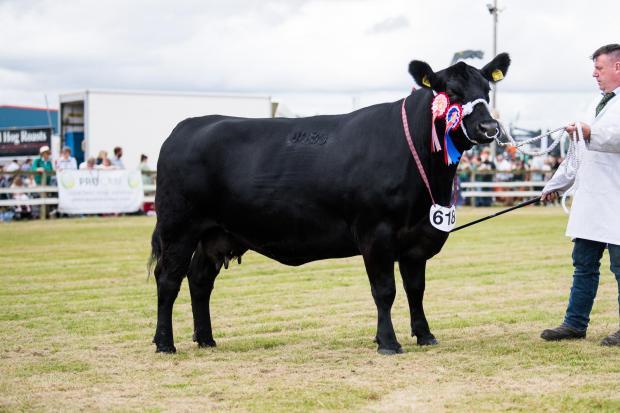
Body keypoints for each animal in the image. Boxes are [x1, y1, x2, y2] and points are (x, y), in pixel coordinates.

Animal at [149, 52, 508, 354]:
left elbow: (415, 288)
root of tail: (186, 126)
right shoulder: (375, 232)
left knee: (199, 280)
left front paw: (424, 335)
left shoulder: (418, 237)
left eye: (487, 89)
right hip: (178, 226)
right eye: (452, 91)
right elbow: (385, 290)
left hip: (216, 234)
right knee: (168, 279)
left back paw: (206, 339)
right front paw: (388, 342)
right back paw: (165, 343)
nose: (490, 127)